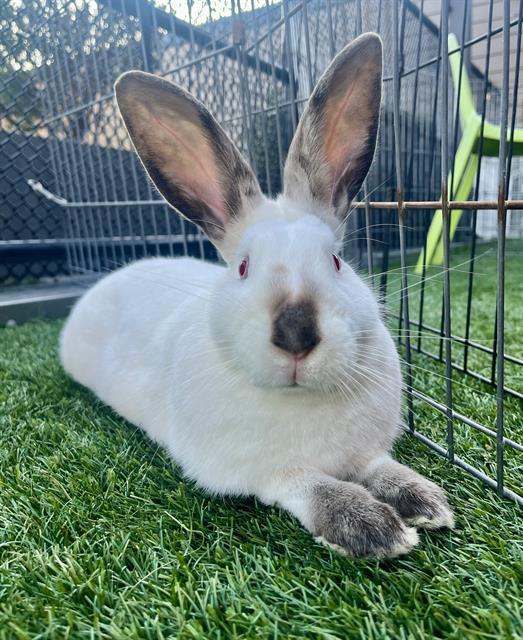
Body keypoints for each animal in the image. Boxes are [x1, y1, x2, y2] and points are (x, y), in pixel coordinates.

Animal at [60, 33, 454, 559]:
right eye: (244, 267)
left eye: (336, 260)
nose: (296, 334)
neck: (300, 400)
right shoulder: (268, 473)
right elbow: (313, 486)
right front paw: (373, 529)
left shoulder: (367, 452)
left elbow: (381, 467)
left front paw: (426, 501)